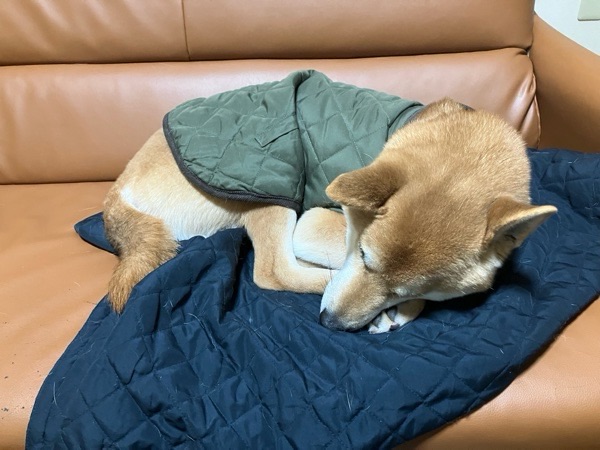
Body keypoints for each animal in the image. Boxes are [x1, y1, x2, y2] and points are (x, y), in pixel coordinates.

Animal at [103, 97, 556, 333]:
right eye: (364, 257)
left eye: (405, 288)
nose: (330, 323)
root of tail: (117, 194)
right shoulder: (316, 222)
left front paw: (406, 308)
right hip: (274, 186)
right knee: (274, 272)